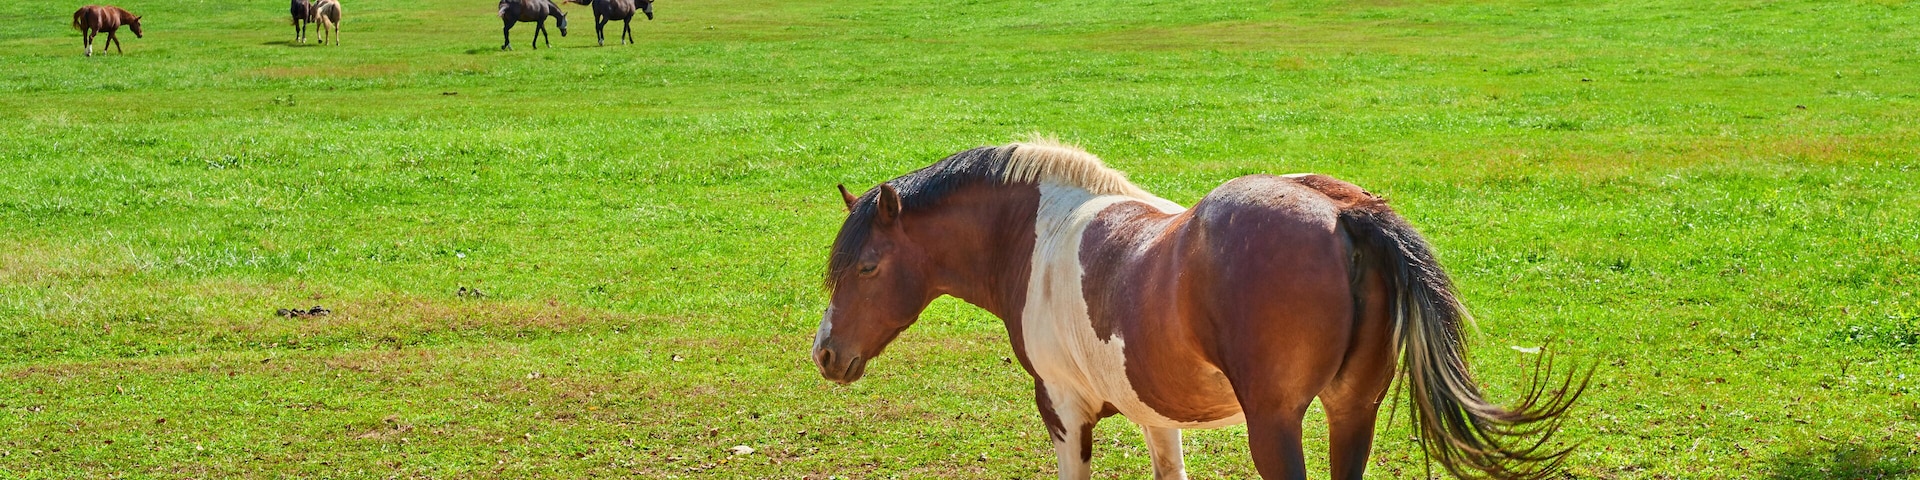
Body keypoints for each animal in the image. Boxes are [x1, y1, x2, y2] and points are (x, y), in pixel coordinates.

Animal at [813, 140, 1588, 479]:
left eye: (867, 266)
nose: (825, 353)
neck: (1038, 234)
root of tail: (1344, 212)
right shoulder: (1156, 413)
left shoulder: (1062, 407)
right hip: (1351, 411)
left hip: (1276, 424)